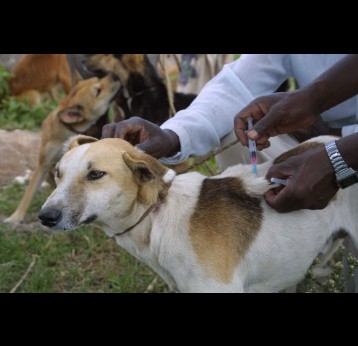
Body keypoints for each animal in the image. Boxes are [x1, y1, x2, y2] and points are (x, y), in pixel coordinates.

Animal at [4, 73, 121, 224]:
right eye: (98, 91)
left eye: (97, 79)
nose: (114, 75)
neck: (68, 128)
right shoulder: (43, 164)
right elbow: (28, 193)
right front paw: (16, 217)